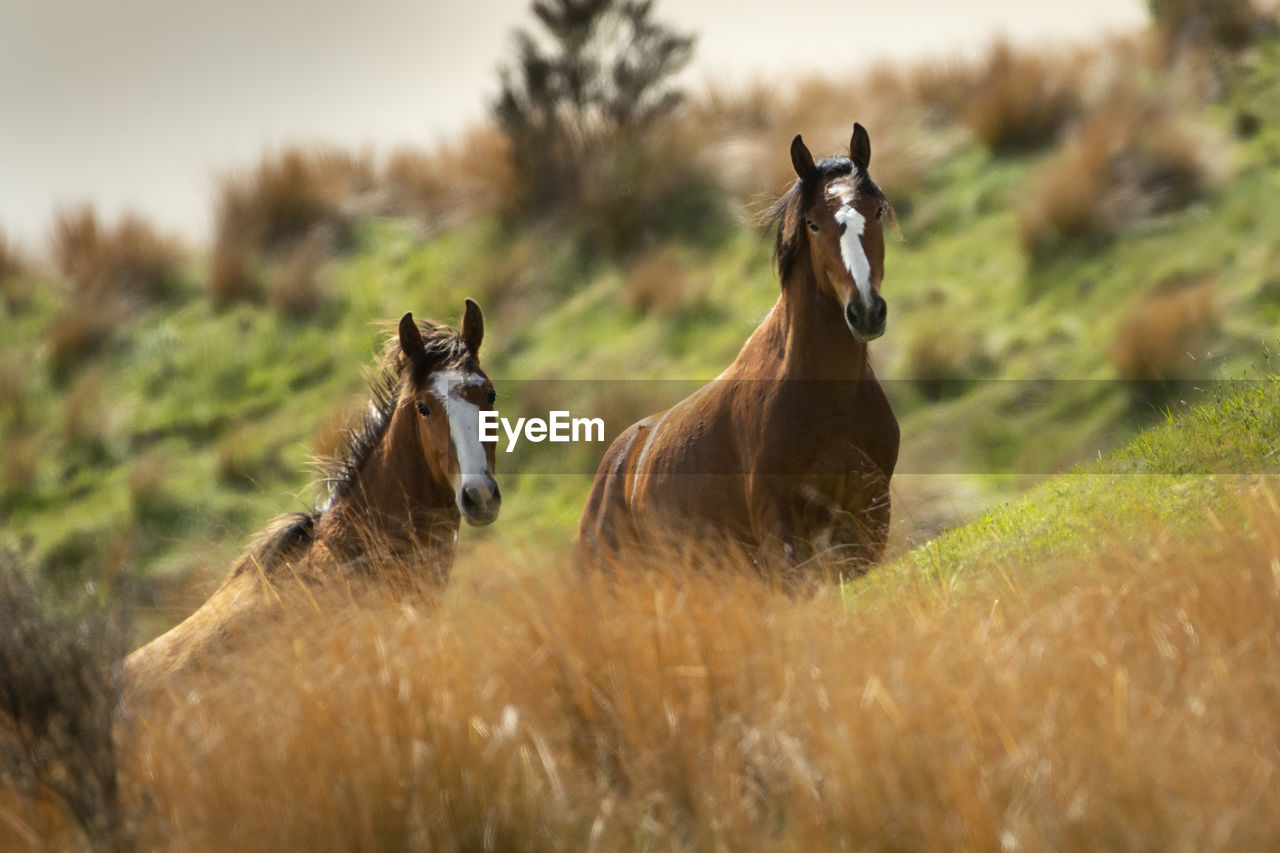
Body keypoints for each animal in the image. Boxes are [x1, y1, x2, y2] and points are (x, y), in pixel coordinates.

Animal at [581, 124, 901, 578]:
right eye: (813, 224)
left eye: (874, 212)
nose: (867, 311)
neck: (828, 404)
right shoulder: (779, 527)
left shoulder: (870, 512)